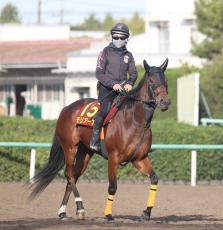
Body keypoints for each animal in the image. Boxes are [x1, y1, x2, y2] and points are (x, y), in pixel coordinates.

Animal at [30, 58, 171, 221]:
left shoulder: (139, 158)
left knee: (73, 178)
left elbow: (154, 178)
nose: (165, 102)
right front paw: (108, 214)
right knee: (69, 175)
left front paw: (146, 213)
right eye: (152, 81)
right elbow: (112, 186)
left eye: (166, 81)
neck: (135, 121)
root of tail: (65, 109)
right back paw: (80, 207)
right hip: (70, 148)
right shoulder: (113, 158)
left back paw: (63, 212)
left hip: (84, 153)